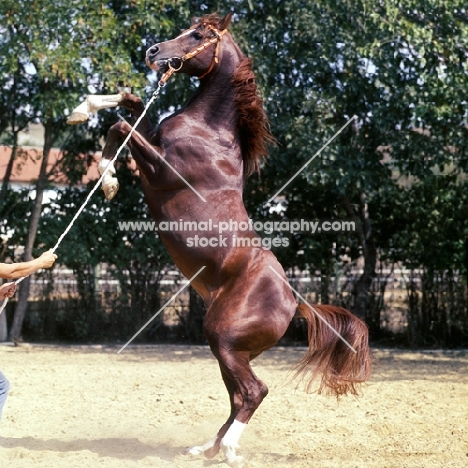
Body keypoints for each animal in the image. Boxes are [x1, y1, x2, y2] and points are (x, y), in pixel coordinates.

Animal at [67, 12, 372, 466]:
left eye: (198, 35)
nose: (153, 52)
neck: (208, 132)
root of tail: (296, 300)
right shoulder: (152, 142)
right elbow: (130, 103)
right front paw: (81, 109)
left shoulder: (160, 168)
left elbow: (121, 125)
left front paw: (108, 182)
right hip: (230, 350)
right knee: (237, 396)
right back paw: (205, 448)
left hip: (224, 339)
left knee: (253, 391)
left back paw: (227, 450)